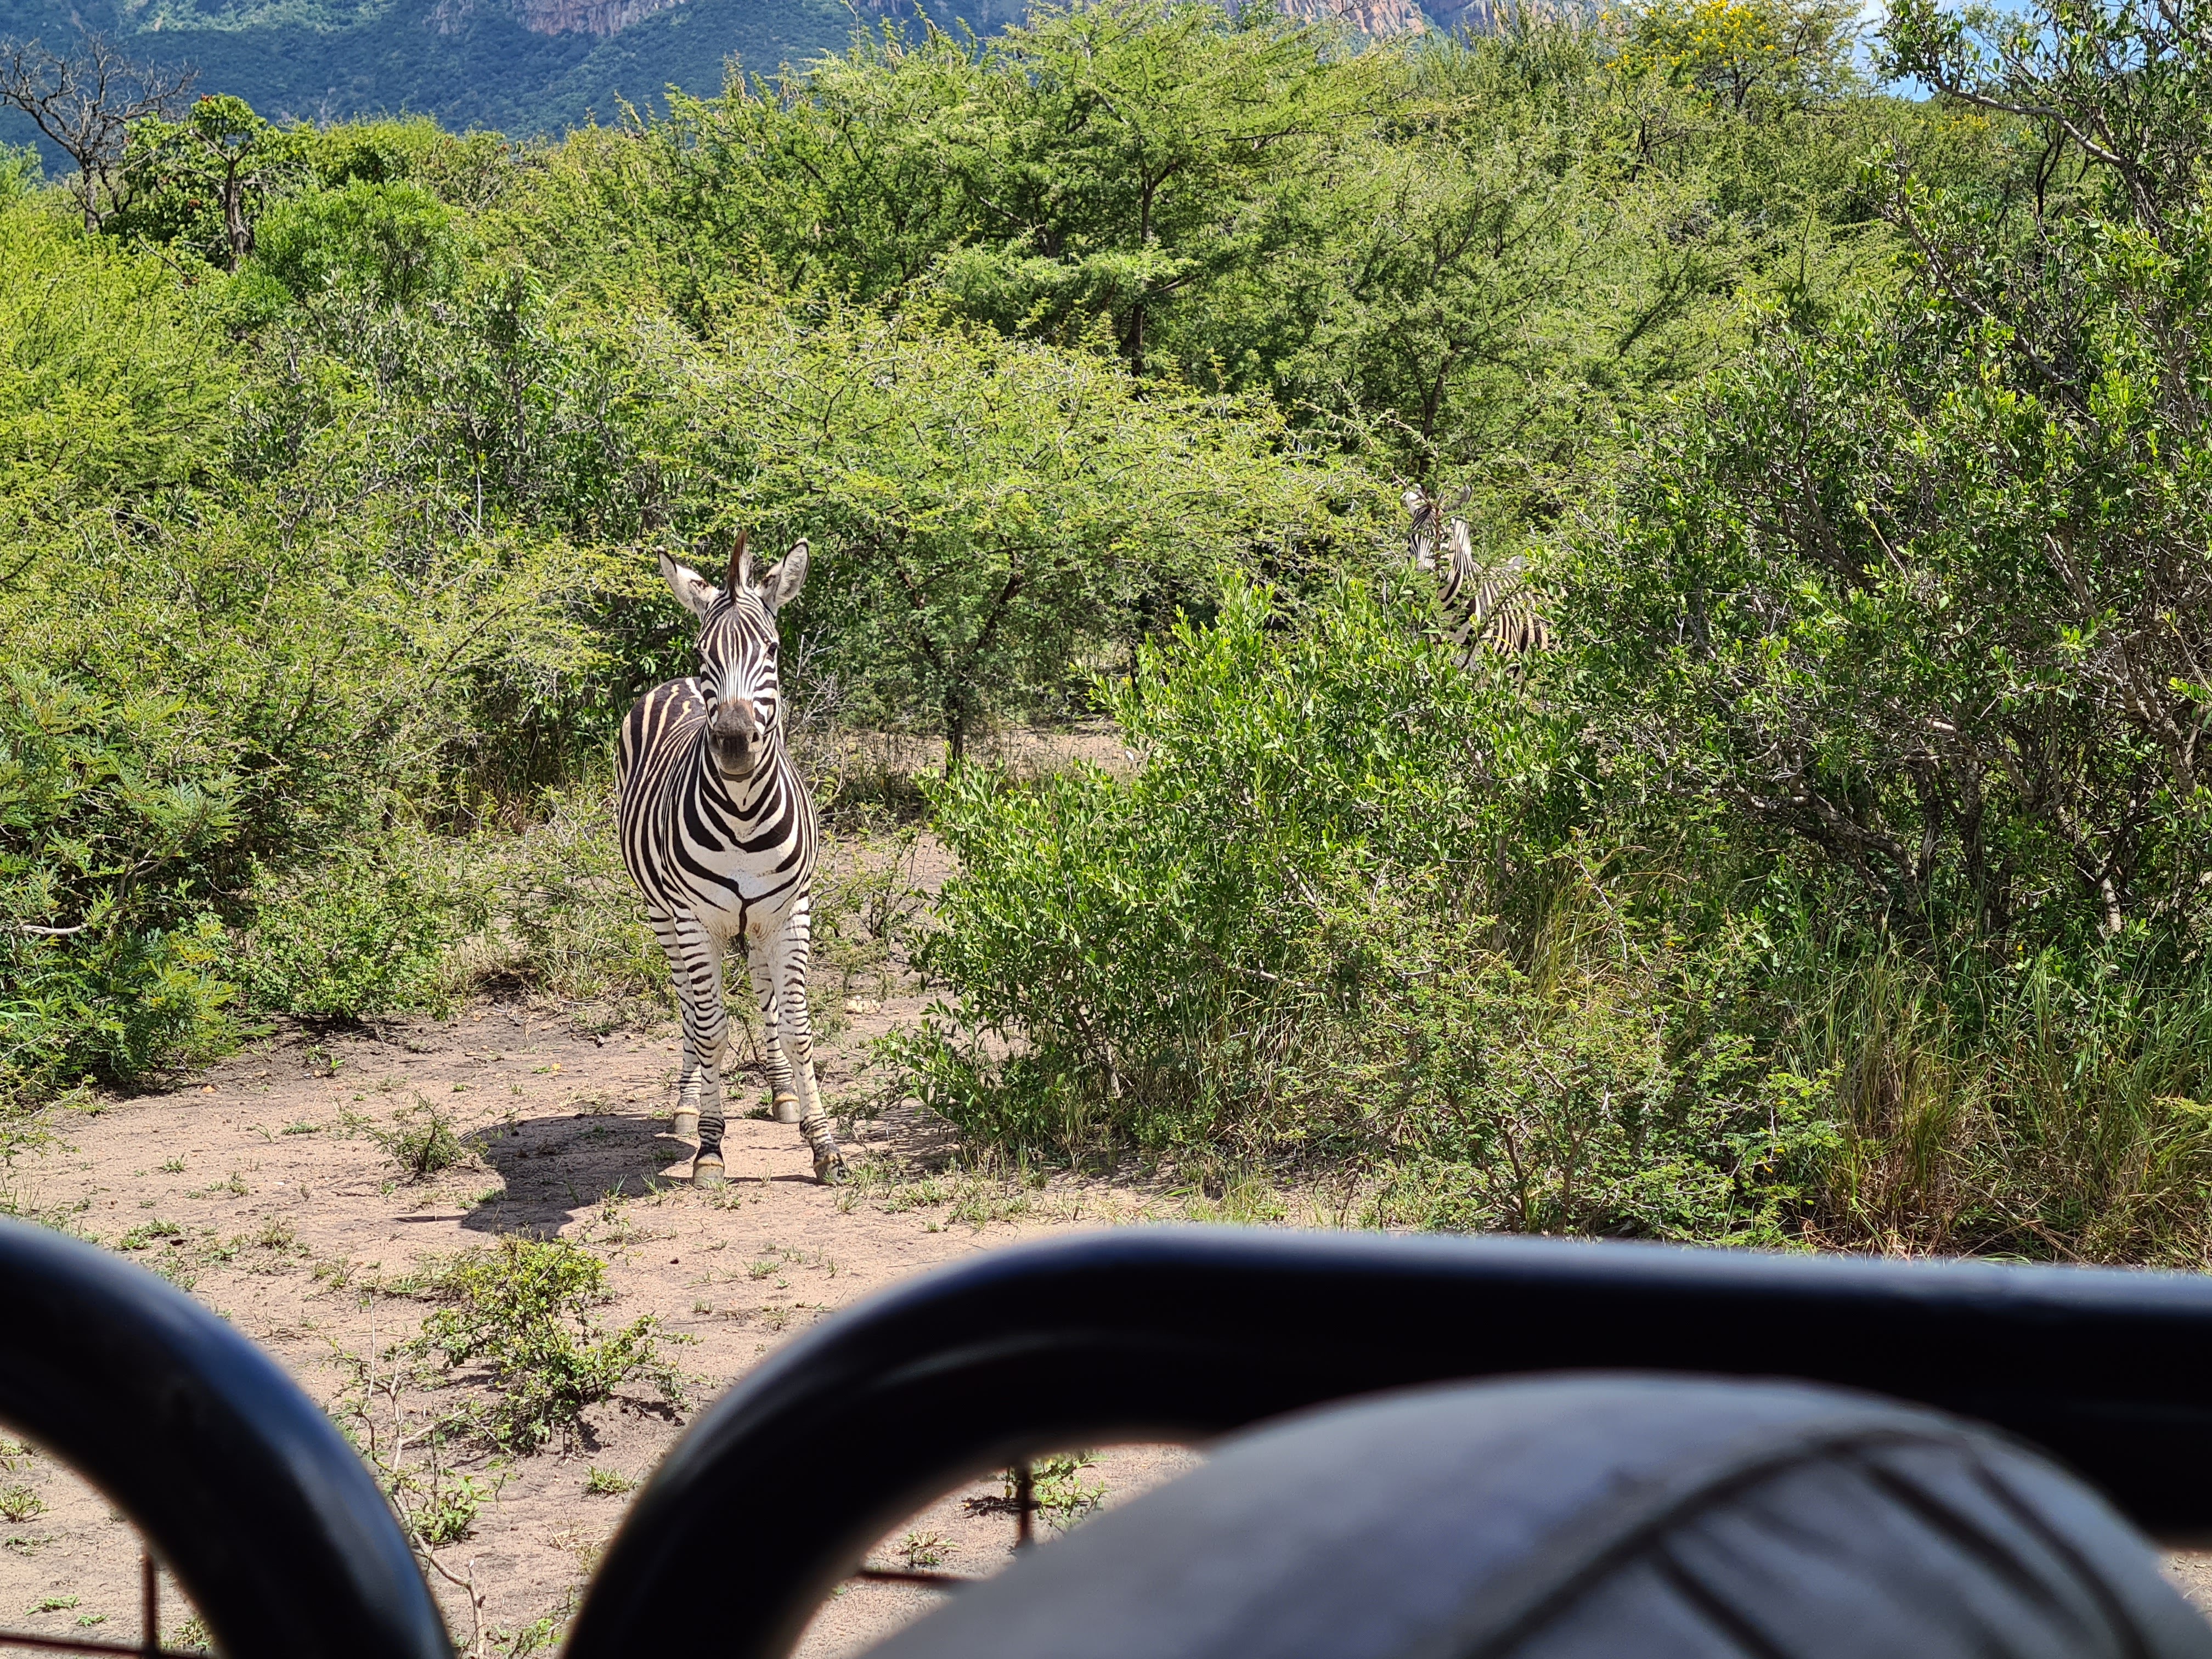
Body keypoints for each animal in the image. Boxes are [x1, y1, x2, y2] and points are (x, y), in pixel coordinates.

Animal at [616, 531, 848, 1187]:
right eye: (704, 652)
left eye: (772, 648)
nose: (735, 743)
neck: (744, 814)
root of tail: (672, 683)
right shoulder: (695, 921)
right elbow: (711, 1028)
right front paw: (711, 1148)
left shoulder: (792, 912)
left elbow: (797, 1026)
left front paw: (824, 1145)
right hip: (660, 914)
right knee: (688, 1007)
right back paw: (687, 1107)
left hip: (759, 919)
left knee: (765, 992)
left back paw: (782, 1095)